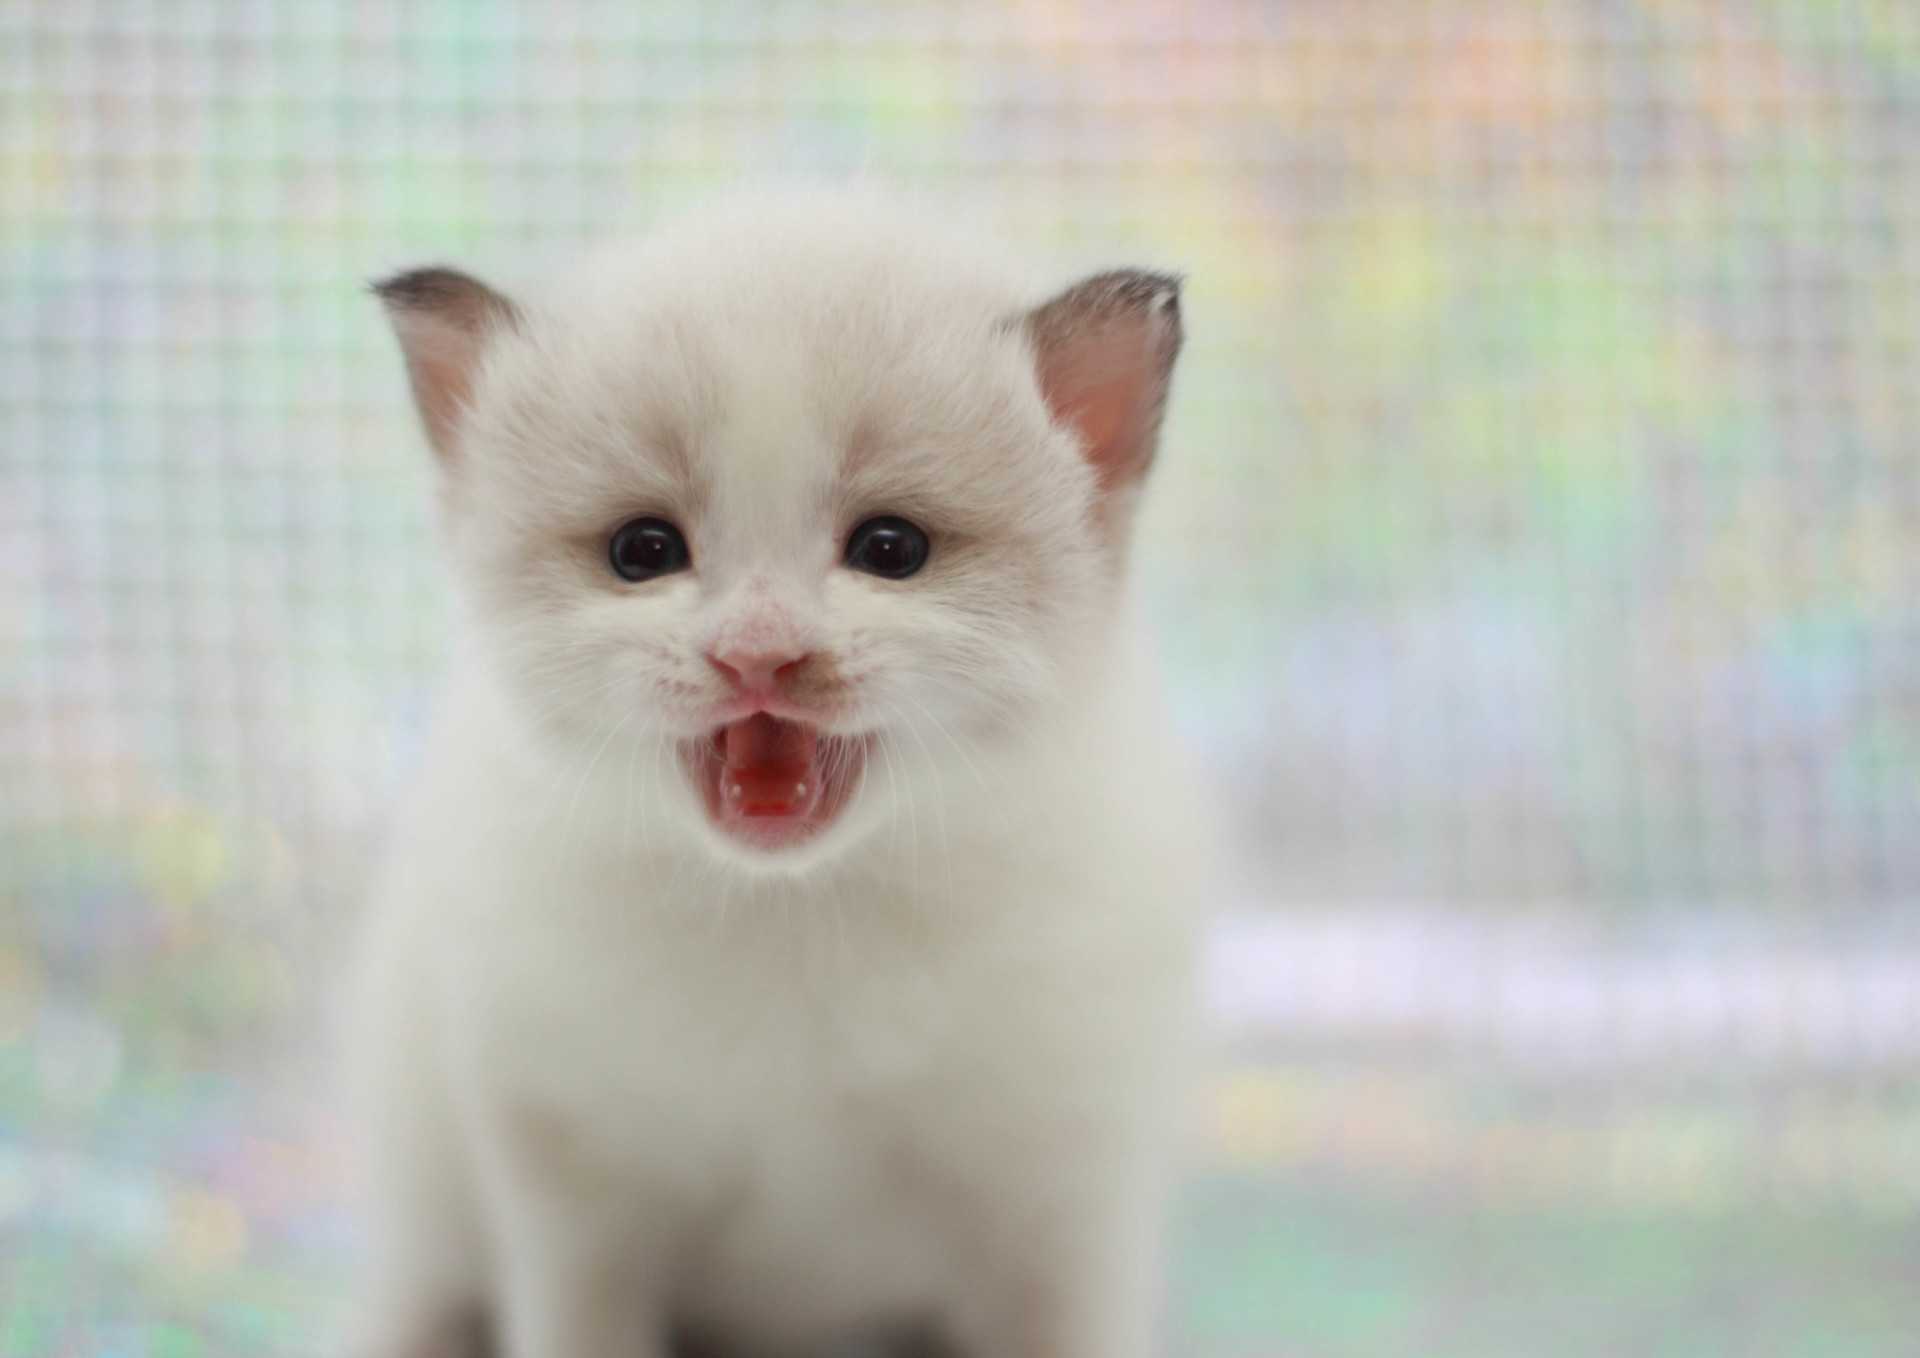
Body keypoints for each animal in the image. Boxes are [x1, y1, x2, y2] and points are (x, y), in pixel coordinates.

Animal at [343, 191, 1205, 1358]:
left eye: (891, 549)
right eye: (643, 551)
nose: (757, 653)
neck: (799, 915)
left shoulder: (1060, 1217)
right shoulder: (574, 1203)